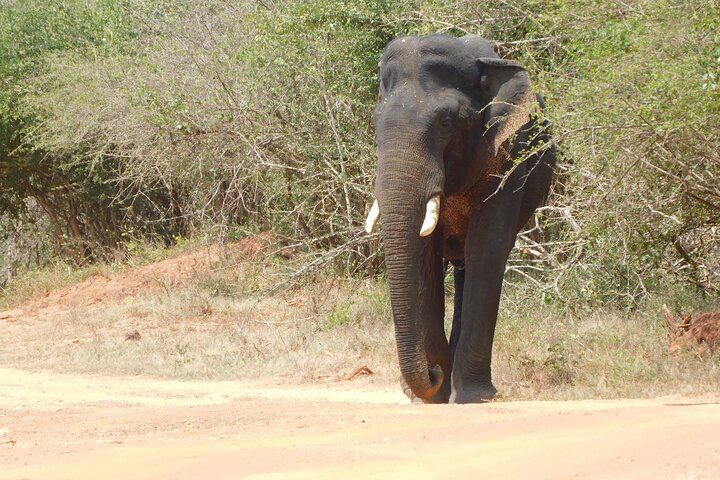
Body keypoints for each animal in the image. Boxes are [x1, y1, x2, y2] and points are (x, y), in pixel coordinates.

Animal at [365, 34, 556, 404]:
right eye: (375, 123)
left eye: (445, 123)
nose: (432, 373)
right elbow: (425, 259)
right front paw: (430, 396)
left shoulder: (508, 156)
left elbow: (488, 248)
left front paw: (473, 397)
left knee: (469, 265)